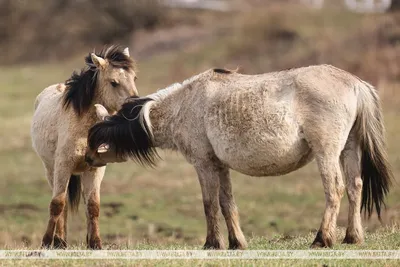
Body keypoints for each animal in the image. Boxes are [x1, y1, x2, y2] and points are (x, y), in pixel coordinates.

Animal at [30, 45, 139, 249]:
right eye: (114, 82)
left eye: (134, 78)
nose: (135, 109)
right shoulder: (63, 166)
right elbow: (57, 204)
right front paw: (46, 242)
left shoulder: (95, 169)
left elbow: (93, 206)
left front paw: (95, 243)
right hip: (51, 170)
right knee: (62, 204)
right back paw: (59, 241)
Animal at [85, 66, 394, 250]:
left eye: (96, 142)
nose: (86, 161)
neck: (184, 105)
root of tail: (354, 83)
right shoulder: (221, 167)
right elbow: (227, 204)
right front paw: (236, 242)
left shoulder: (204, 165)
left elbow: (209, 204)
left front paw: (212, 243)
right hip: (348, 150)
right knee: (354, 187)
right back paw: (352, 237)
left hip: (327, 154)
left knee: (335, 190)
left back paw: (322, 239)